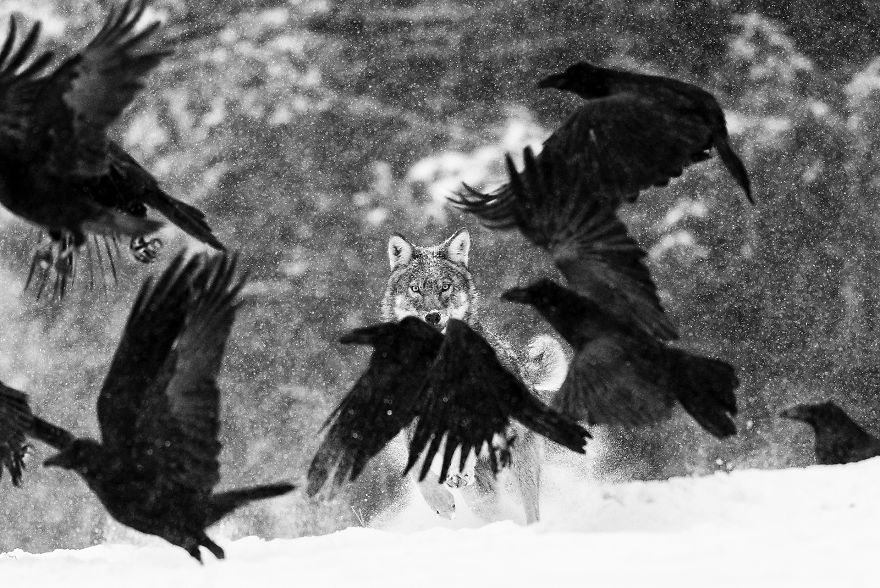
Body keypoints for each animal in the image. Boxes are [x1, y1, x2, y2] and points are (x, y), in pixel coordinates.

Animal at [382, 228, 567, 523]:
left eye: (445, 287)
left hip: (522, 462)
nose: (433, 316)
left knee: (530, 508)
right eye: (416, 288)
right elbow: (418, 470)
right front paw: (441, 502)